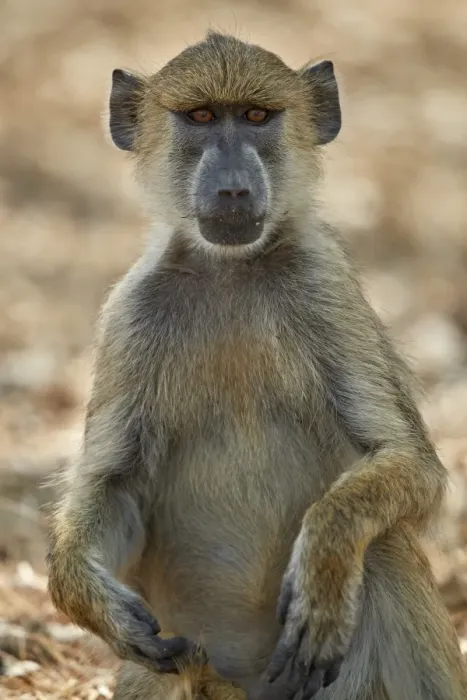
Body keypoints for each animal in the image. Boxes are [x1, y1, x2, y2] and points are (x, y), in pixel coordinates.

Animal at [46, 31, 467, 700]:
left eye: (255, 116)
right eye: (199, 117)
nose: (234, 188)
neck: (230, 269)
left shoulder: (326, 287)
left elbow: (407, 463)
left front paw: (323, 570)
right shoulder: (130, 316)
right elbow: (115, 487)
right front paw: (93, 602)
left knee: (383, 548)